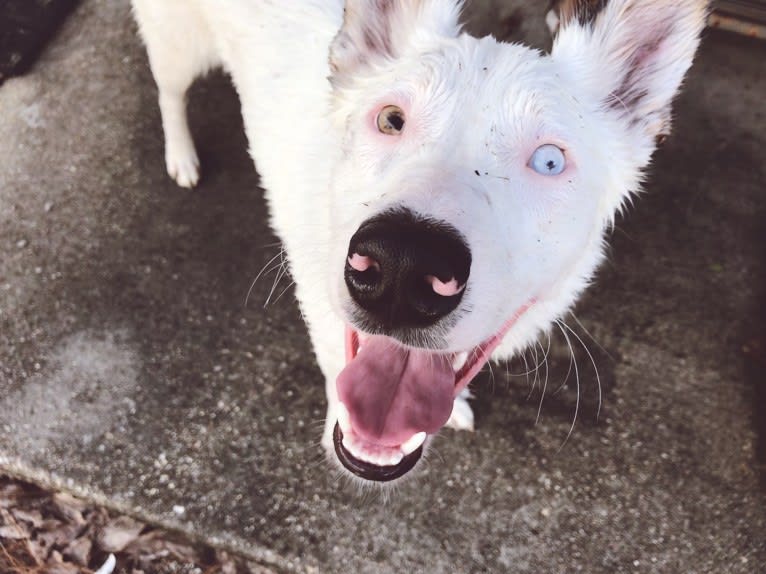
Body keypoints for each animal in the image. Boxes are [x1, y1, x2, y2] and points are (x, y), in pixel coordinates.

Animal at [132, 0, 708, 484]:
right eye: (391, 119)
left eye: (549, 161)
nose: (403, 266)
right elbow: (336, 369)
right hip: (175, 45)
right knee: (168, 92)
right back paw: (181, 155)